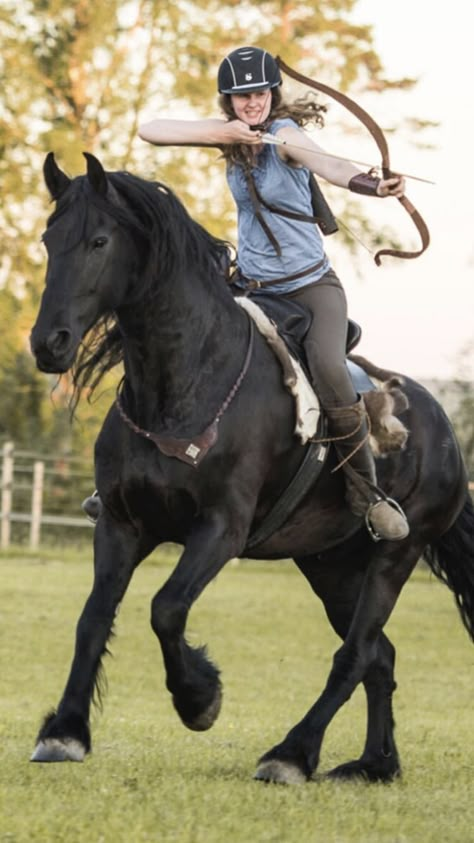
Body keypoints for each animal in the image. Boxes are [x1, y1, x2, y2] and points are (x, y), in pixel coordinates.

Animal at [30, 153, 474, 784]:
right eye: (49, 240)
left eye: (98, 241)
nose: (50, 343)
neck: (185, 384)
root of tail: (441, 425)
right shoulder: (120, 522)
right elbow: (93, 617)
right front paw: (65, 731)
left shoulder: (220, 529)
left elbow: (166, 609)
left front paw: (200, 699)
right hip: (330, 564)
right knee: (379, 657)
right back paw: (373, 764)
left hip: (395, 555)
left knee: (357, 651)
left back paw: (291, 754)